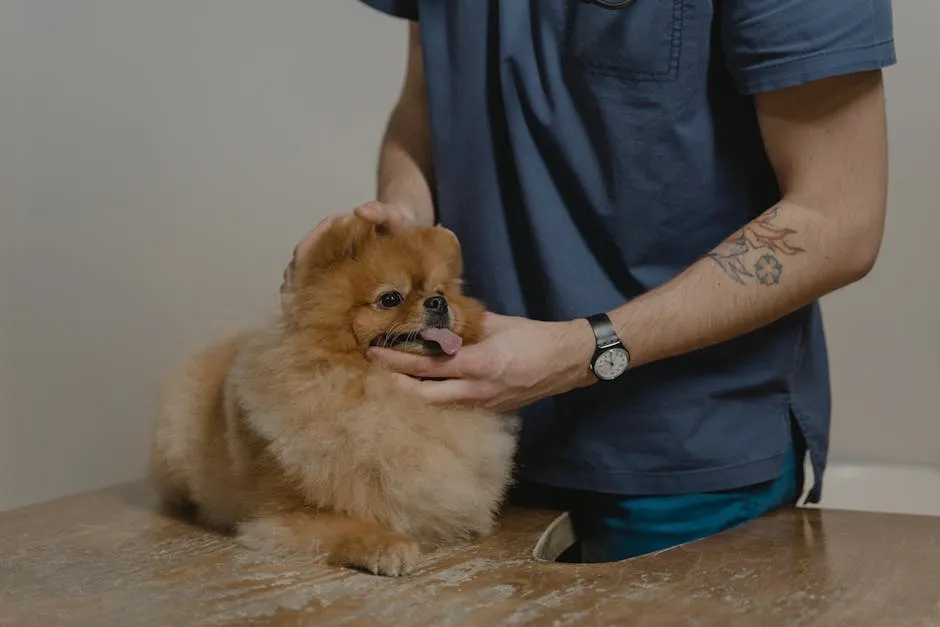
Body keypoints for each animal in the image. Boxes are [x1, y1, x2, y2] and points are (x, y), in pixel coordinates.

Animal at [150, 217, 516, 580]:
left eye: (439, 292)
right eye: (390, 298)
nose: (439, 304)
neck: (379, 391)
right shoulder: (284, 513)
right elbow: (348, 522)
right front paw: (387, 545)